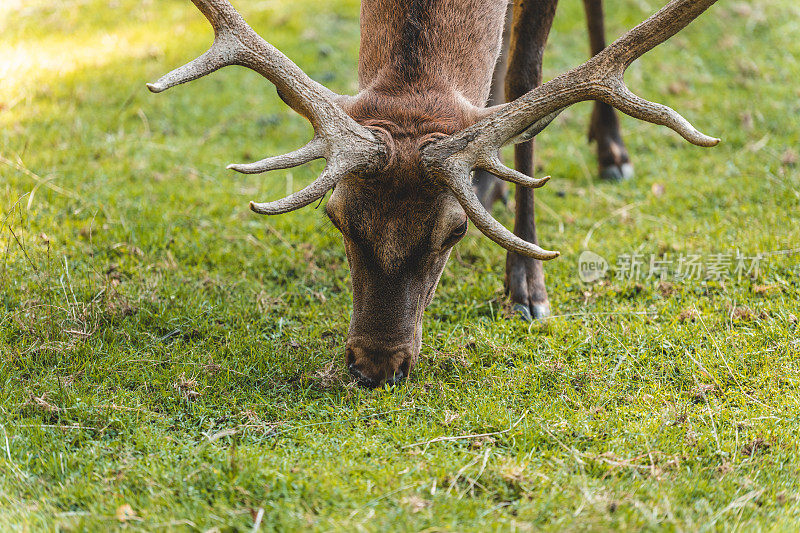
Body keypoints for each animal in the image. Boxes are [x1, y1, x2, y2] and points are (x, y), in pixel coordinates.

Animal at [147, 0, 720, 384]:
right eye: (337, 217)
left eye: (453, 232)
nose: (376, 366)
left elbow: (525, 77)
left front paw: (527, 288)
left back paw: (609, 150)